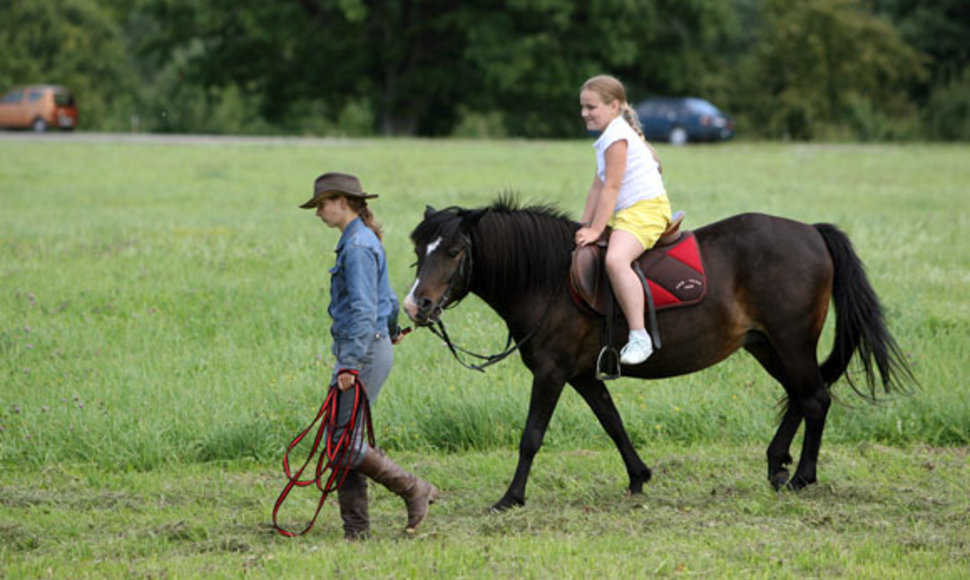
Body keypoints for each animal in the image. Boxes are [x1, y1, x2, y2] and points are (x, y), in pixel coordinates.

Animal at [398, 199, 912, 512]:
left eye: (455, 251)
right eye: (419, 248)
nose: (416, 305)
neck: (548, 278)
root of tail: (811, 231)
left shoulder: (551, 372)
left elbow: (531, 436)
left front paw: (510, 497)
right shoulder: (584, 375)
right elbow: (612, 423)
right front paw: (639, 477)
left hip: (791, 341)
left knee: (816, 399)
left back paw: (802, 475)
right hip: (766, 345)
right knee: (802, 397)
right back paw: (776, 464)